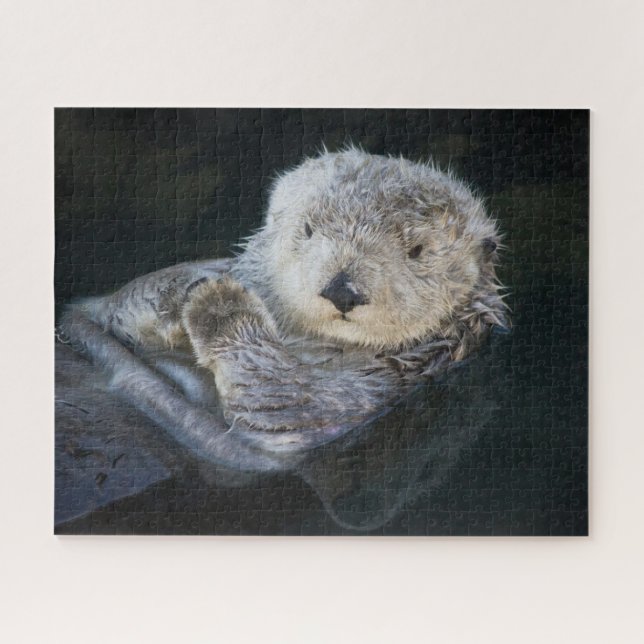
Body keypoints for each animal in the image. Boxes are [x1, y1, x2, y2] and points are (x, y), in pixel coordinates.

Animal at [59, 147, 508, 470]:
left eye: (417, 251)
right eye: (307, 229)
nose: (342, 290)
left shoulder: (371, 389)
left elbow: (280, 400)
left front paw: (219, 303)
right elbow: (117, 307)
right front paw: (187, 286)